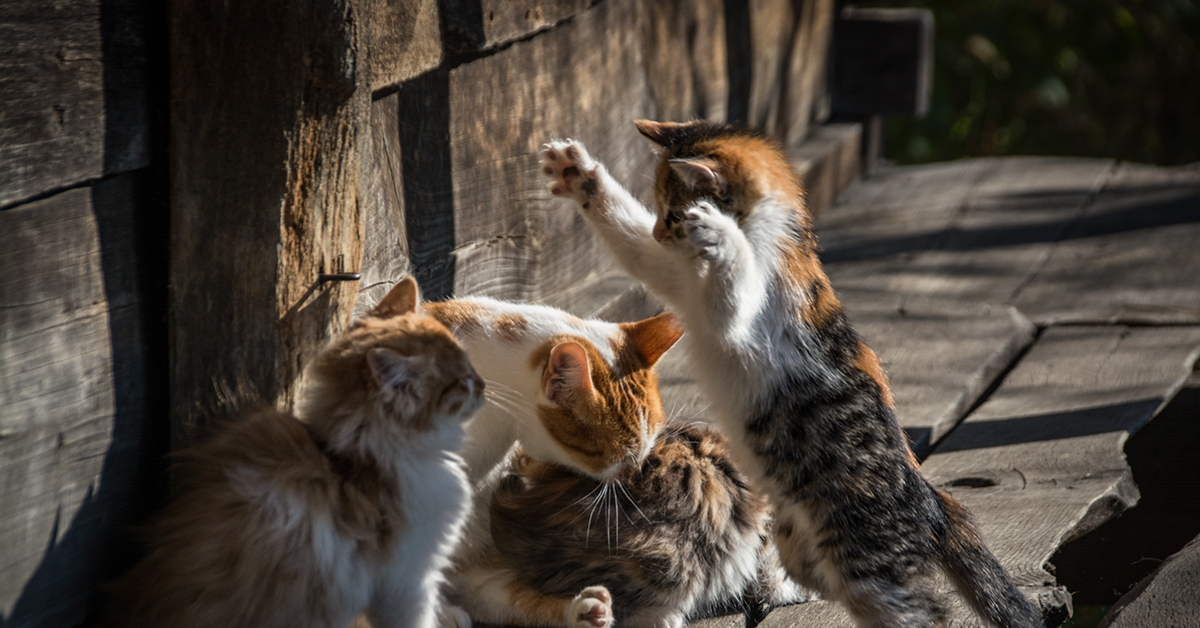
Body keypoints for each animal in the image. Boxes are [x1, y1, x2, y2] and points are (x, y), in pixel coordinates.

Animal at [103, 278, 484, 628]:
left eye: (470, 364)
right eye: (459, 382)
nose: (481, 385)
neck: (356, 459)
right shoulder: (407, 581)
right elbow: (417, 619)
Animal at [540, 123, 1046, 628]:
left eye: (675, 213)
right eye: (660, 211)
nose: (661, 232)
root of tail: (928, 494)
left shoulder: (743, 313)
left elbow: (732, 288)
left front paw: (719, 232)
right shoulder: (677, 277)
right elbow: (635, 249)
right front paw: (578, 173)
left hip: (869, 562)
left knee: (923, 612)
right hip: (797, 540)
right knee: (802, 575)